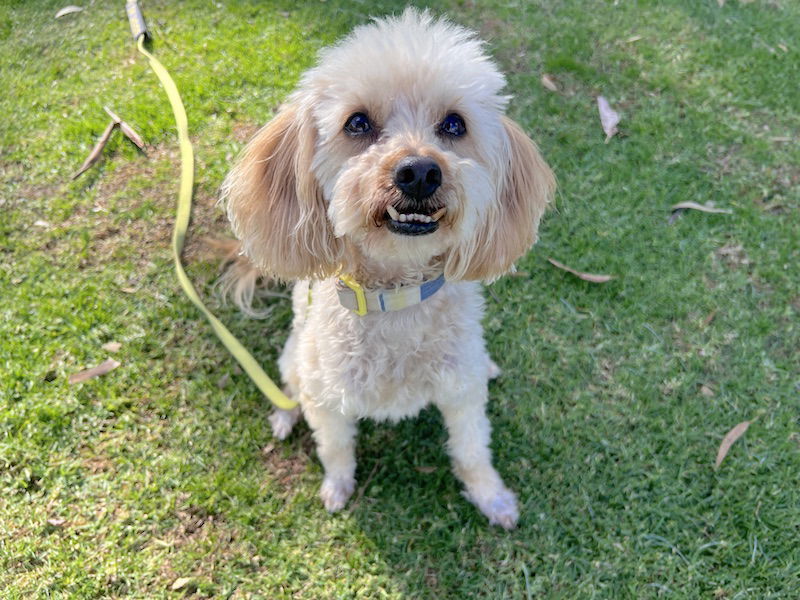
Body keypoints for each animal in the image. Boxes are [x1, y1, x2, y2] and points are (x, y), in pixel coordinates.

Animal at [222, 7, 552, 528]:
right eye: (357, 123)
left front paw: (492, 497)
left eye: (454, 124)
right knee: (290, 385)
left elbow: (473, 450)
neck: (396, 297)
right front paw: (337, 488)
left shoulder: (461, 394)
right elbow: (336, 449)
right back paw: (284, 415)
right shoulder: (328, 403)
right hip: (295, 356)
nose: (419, 172)